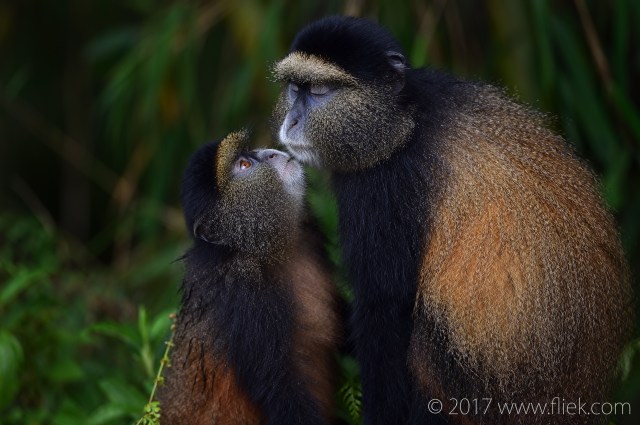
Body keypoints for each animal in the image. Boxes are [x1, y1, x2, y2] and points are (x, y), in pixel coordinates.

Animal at [157, 131, 342, 425]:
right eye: (244, 165)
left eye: (250, 153)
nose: (270, 153)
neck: (265, 250)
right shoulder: (243, 296)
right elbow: (279, 386)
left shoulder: (309, 235)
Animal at [271, 16, 632, 425]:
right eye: (294, 88)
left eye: (318, 90)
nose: (291, 121)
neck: (403, 121)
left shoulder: (384, 189)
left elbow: (385, 307)